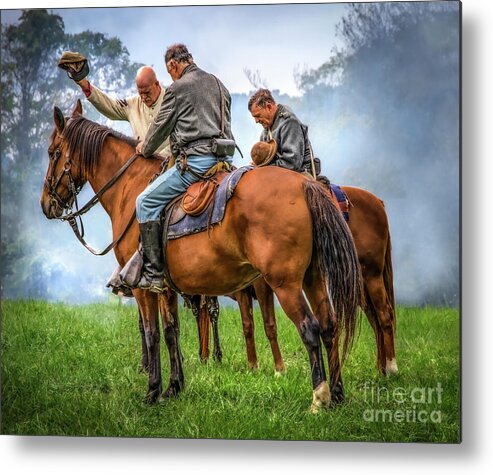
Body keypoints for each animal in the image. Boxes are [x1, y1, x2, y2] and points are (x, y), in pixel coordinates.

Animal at [41, 101, 362, 412]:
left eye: (53, 152)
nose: (46, 204)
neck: (130, 189)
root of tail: (305, 185)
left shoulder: (142, 290)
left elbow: (152, 334)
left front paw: (152, 391)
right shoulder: (166, 288)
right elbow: (171, 331)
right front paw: (174, 387)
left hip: (285, 284)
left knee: (310, 329)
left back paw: (319, 399)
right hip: (313, 277)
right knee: (330, 325)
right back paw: (337, 394)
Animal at [196, 187, 396, 380]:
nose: (203, 358)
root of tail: (377, 202)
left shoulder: (262, 285)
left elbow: (269, 325)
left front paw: (279, 369)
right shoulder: (243, 291)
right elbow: (247, 326)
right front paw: (252, 367)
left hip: (372, 276)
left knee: (384, 315)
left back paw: (391, 367)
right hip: (358, 285)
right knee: (375, 320)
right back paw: (381, 370)